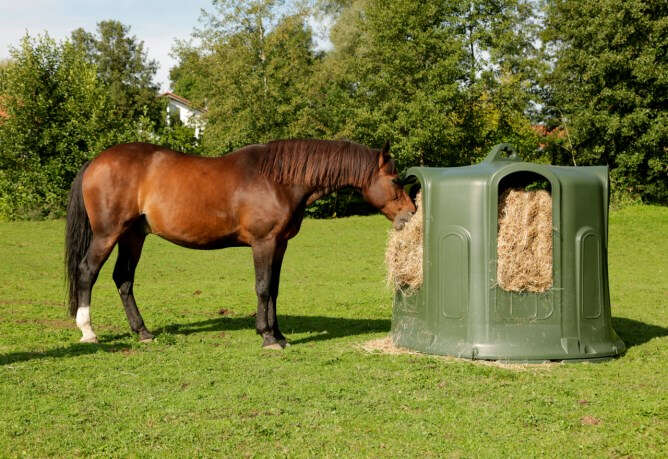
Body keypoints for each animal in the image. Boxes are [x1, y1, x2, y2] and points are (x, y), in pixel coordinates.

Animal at [65, 139, 416, 349]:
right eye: (395, 179)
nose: (411, 213)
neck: (279, 180)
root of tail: (96, 162)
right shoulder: (264, 244)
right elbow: (262, 288)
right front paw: (268, 337)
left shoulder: (280, 245)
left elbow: (274, 289)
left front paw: (278, 334)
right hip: (108, 234)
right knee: (87, 272)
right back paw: (88, 331)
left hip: (134, 236)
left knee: (123, 279)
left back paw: (143, 332)